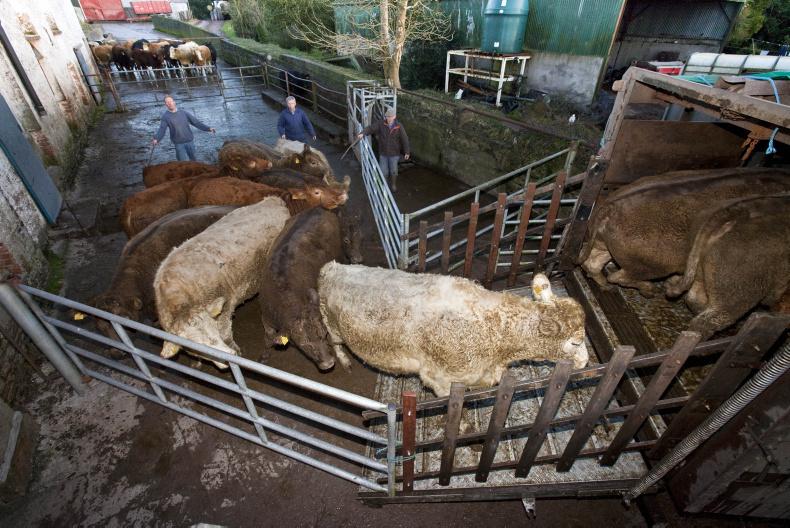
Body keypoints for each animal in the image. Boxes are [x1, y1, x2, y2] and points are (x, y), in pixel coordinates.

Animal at [154, 197, 290, 368]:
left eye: (214, 331)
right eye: (197, 345)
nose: (227, 356)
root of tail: (272, 199)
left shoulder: (225, 308)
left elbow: (226, 334)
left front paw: (236, 353)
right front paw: (196, 363)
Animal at [259, 208, 364, 371]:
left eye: (323, 334)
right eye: (304, 343)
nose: (329, 363)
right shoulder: (266, 316)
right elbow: (268, 335)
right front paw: (264, 355)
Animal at [318, 266, 588, 396]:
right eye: (576, 342)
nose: (586, 361)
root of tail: (331, 266)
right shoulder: (439, 379)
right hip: (331, 324)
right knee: (335, 343)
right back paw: (344, 361)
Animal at [578, 167, 790, 297]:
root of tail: (611, 207)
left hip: (607, 245)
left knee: (593, 264)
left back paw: (607, 287)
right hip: (651, 264)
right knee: (619, 276)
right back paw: (650, 290)